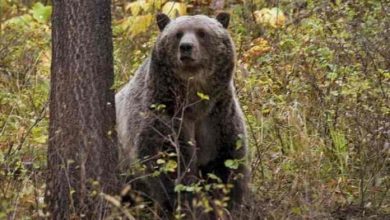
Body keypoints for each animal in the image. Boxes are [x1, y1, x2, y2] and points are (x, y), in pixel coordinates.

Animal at [116, 12, 250, 218]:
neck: (194, 102)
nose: (186, 47)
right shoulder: (164, 115)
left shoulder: (218, 119)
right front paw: (186, 207)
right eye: (178, 33)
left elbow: (226, 167)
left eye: (202, 32)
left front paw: (228, 207)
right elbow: (170, 167)